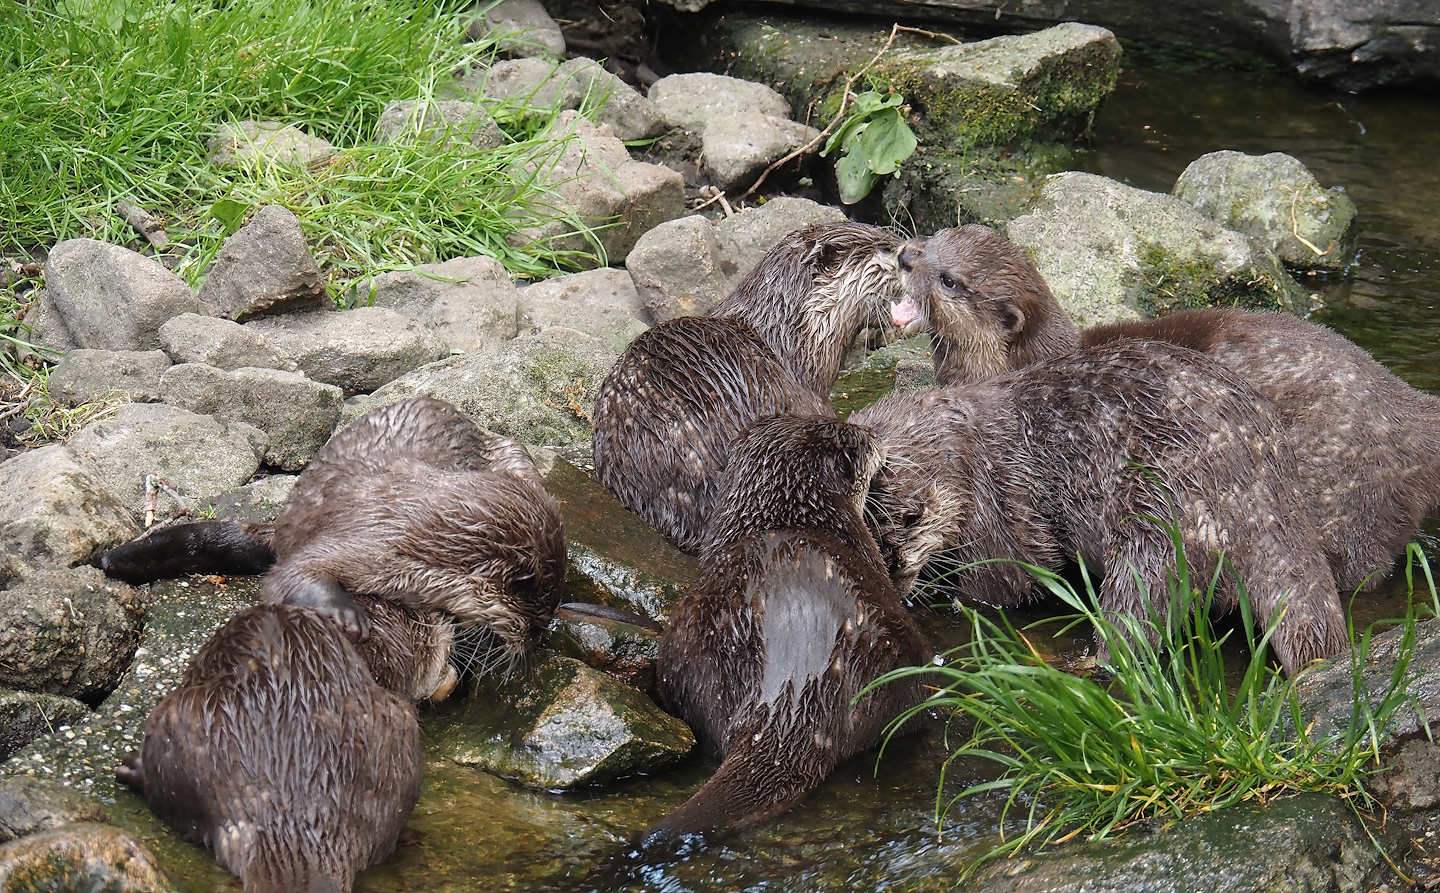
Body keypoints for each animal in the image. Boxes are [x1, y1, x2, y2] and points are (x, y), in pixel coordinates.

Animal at [98, 396, 566, 661]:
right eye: (535, 622)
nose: (538, 642)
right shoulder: (375, 542)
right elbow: (290, 576)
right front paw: (347, 614)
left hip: (511, 453)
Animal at [852, 339, 1345, 676]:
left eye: (902, 531)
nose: (896, 585)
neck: (969, 452)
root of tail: (1257, 493)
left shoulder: (998, 511)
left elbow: (1008, 585)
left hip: (1155, 526)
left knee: (1134, 620)